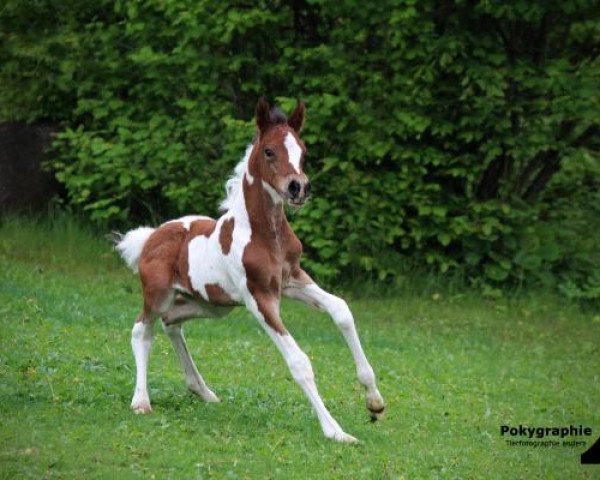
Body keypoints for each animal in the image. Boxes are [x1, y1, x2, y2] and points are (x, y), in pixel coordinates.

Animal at [116, 98, 384, 442]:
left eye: (303, 150)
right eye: (269, 151)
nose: (298, 188)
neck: (264, 233)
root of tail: (151, 236)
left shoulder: (292, 280)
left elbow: (341, 309)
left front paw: (374, 401)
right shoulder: (260, 298)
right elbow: (299, 361)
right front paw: (335, 431)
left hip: (213, 305)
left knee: (172, 322)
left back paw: (202, 391)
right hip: (159, 294)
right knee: (142, 329)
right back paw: (141, 401)